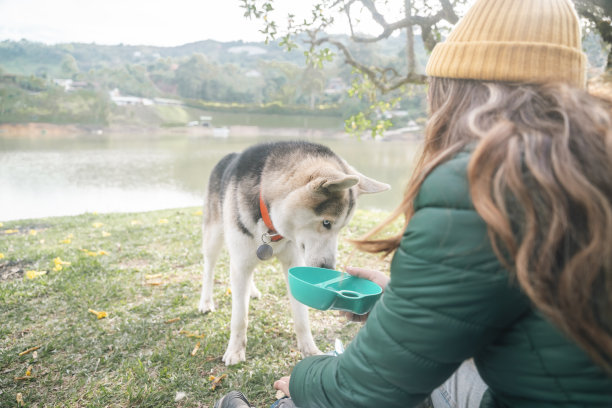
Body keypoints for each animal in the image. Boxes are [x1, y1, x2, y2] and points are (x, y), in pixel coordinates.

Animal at [198, 141, 390, 366]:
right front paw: (235, 351)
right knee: (209, 267)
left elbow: (301, 315)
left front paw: (309, 349)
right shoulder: (240, 261)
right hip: (214, 236)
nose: (328, 268)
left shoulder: (292, 262)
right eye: (326, 223)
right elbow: (239, 317)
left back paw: (251, 291)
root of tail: (230, 155)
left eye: (341, 228)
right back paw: (206, 301)